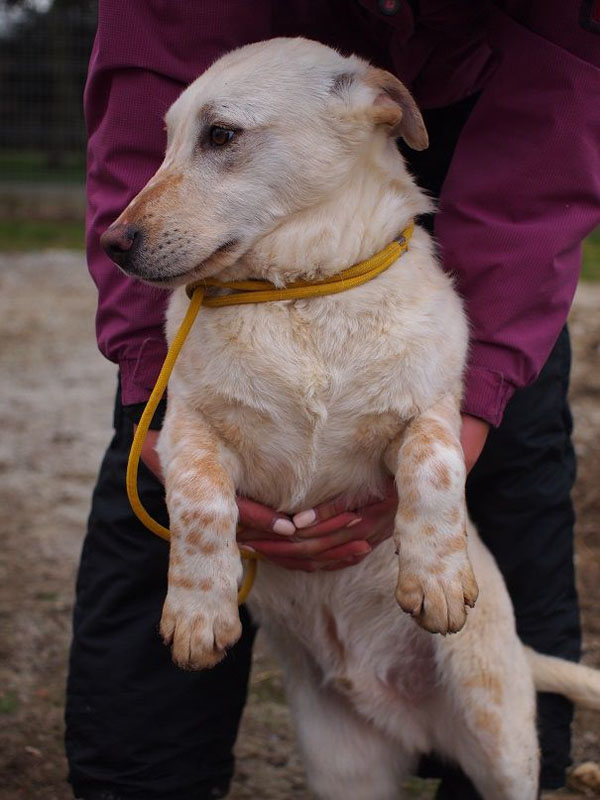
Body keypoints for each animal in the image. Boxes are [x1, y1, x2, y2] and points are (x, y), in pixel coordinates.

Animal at [102, 39, 600, 800]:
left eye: (220, 135)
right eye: (165, 142)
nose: (111, 242)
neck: (301, 297)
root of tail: (410, 726)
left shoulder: (430, 408)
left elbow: (434, 467)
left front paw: (436, 577)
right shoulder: (189, 429)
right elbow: (201, 506)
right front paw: (197, 615)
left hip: (500, 738)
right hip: (344, 768)